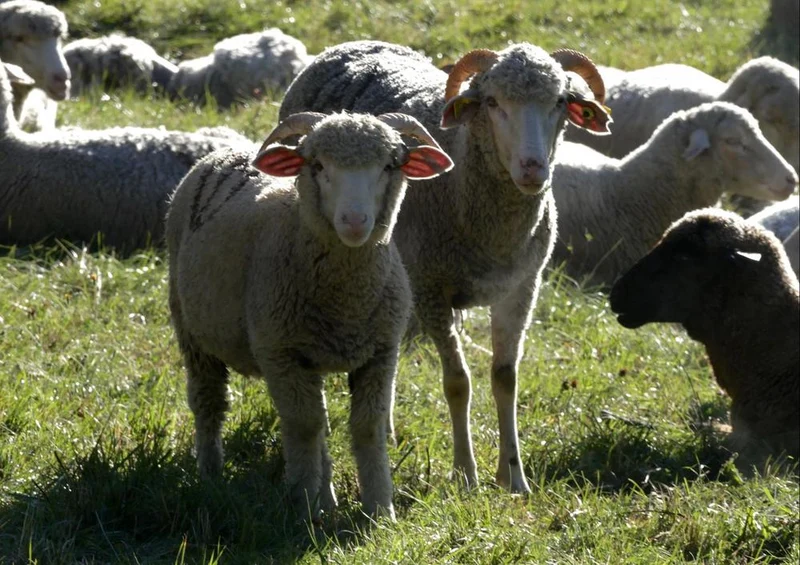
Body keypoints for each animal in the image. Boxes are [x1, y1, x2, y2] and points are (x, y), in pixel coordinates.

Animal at [166, 111, 454, 520]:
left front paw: (379, 509)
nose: (354, 220)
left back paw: (327, 498)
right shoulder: (280, 352)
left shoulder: (381, 352)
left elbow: (366, 426)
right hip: (192, 330)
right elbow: (303, 426)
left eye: (389, 165)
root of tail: (224, 152)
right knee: (209, 401)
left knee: (320, 421)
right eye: (317, 166)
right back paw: (210, 474)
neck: (345, 299)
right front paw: (303, 507)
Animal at [280, 40, 612, 492]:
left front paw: (513, 477)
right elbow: (458, 383)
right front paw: (465, 474)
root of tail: (349, 45)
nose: (532, 168)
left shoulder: (521, 287)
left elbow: (505, 378)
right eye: (492, 101)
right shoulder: (431, 290)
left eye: (560, 100)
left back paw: (386, 430)